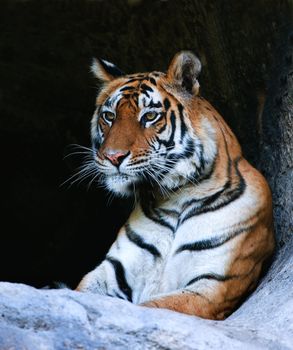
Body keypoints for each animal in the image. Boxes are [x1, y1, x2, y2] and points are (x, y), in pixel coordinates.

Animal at [74, 50, 274, 320]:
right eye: (109, 116)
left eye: (149, 116)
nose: (113, 157)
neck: (176, 197)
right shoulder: (112, 272)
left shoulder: (212, 286)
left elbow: (152, 308)